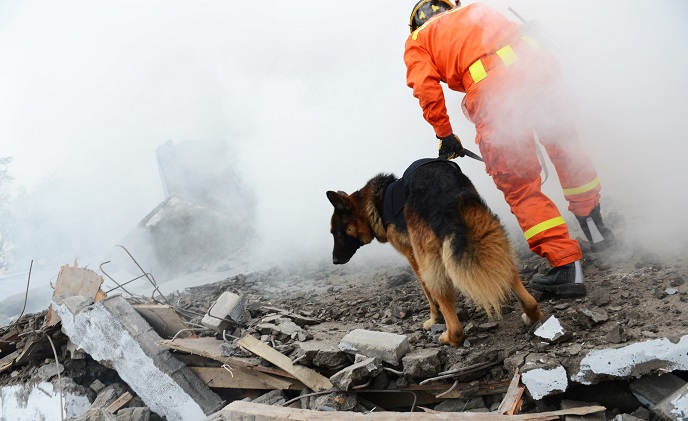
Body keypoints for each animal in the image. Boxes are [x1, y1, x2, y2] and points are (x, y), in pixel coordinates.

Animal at [328, 158, 544, 344]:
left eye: (336, 232)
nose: (334, 260)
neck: (372, 205)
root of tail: (443, 190)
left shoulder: (412, 256)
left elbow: (427, 293)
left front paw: (434, 318)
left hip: (431, 261)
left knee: (452, 320)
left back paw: (449, 336)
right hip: (489, 235)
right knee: (517, 283)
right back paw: (531, 314)